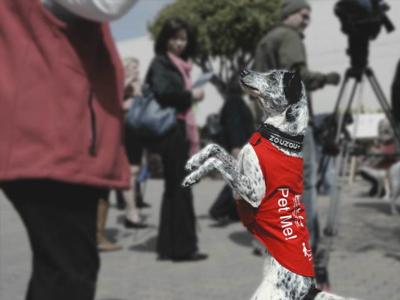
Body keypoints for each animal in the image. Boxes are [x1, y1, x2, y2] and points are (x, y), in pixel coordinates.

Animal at [181, 70, 360, 300]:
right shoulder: (241, 168)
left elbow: (216, 162)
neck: (281, 137)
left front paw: (193, 176)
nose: (243, 71)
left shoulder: (252, 192)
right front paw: (194, 161)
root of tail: (309, 290)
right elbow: (215, 148)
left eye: (273, 77)